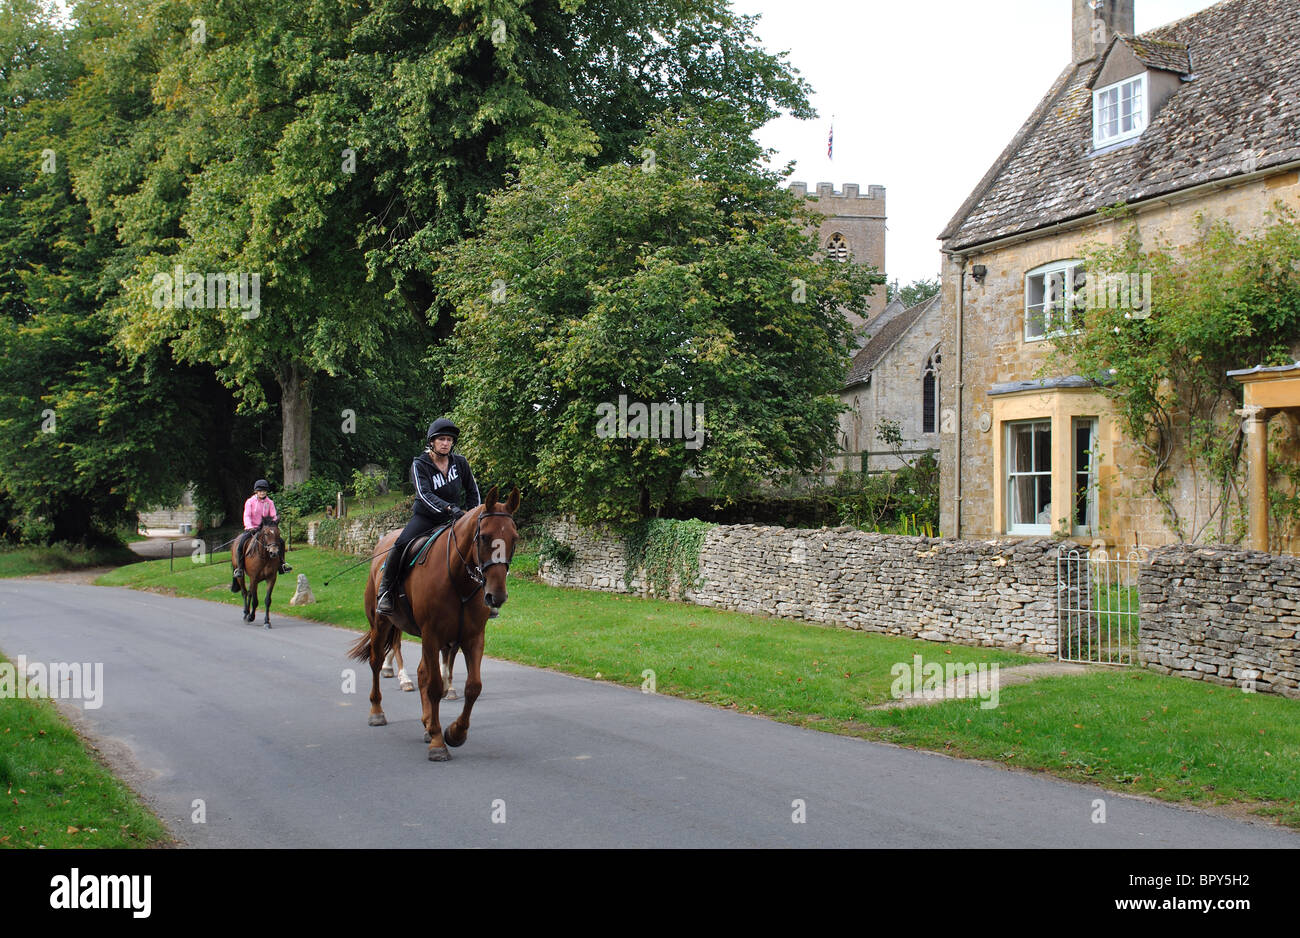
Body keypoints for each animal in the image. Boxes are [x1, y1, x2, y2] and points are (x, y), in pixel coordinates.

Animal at [348, 485, 519, 761]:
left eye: (514, 538)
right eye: (484, 537)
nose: (497, 596)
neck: (458, 580)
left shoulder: (472, 638)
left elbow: (473, 687)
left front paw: (455, 733)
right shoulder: (432, 635)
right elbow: (435, 686)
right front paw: (439, 742)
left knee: (420, 673)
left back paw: (428, 724)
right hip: (381, 625)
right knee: (376, 662)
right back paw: (377, 712)